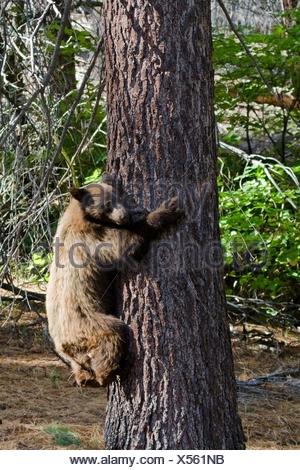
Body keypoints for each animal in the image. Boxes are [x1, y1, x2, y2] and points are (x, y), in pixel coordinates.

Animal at [46, 173, 184, 386]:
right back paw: (112, 371)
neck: (83, 217)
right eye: (107, 204)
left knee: (83, 367)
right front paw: (167, 208)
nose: (125, 216)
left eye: (120, 198)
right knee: (114, 335)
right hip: (89, 323)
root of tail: (63, 346)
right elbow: (124, 243)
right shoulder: (90, 239)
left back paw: (86, 378)